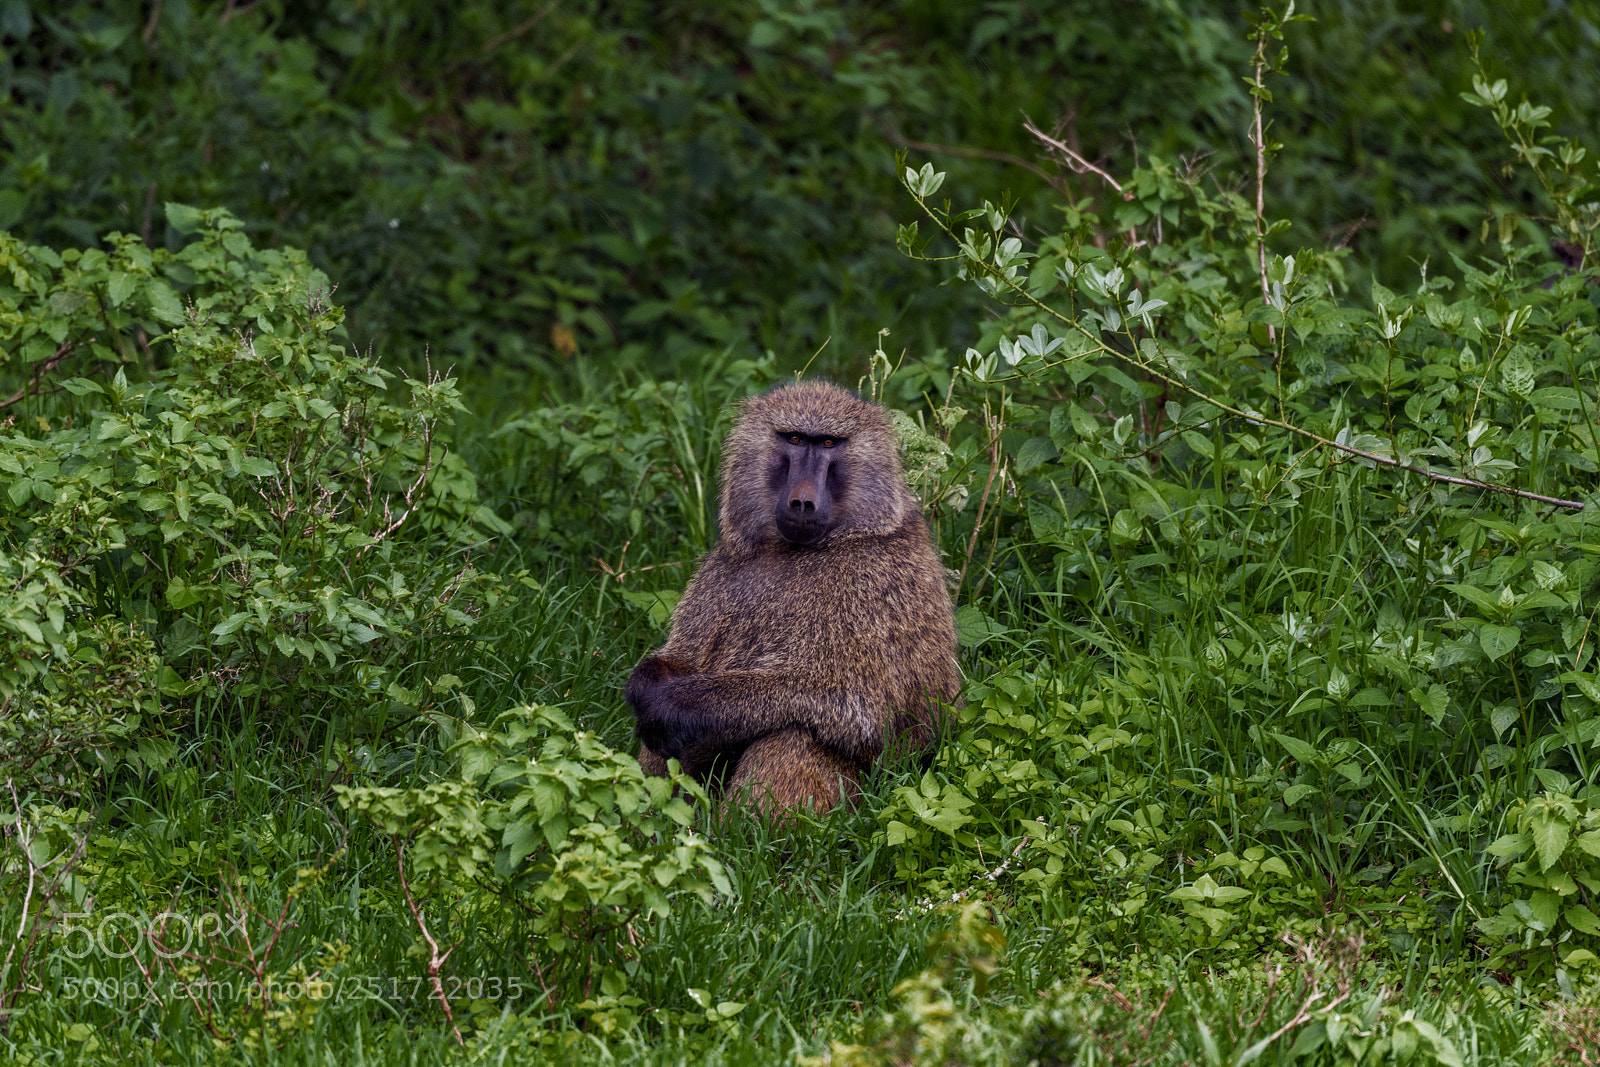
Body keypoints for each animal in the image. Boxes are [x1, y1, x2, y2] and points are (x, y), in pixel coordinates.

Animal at [626, 380, 961, 815]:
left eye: (829, 442)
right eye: (796, 439)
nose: (802, 501)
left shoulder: (873, 584)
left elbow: (858, 708)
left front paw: (677, 705)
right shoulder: (724, 570)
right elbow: (682, 661)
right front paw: (646, 685)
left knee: (795, 732)